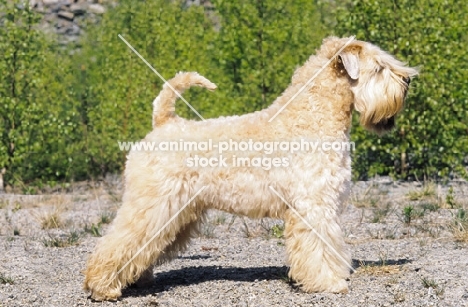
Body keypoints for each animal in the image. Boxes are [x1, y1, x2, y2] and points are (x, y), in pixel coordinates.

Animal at [83, 35, 416, 300]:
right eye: (379, 67)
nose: (408, 81)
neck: (311, 116)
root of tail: (163, 122)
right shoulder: (314, 205)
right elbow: (319, 247)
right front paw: (328, 283)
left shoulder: (325, 205)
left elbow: (331, 245)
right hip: (152, 204)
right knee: (119, 241)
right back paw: (103, 287)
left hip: (176, 211)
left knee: (142, 247)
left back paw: (134, 280)